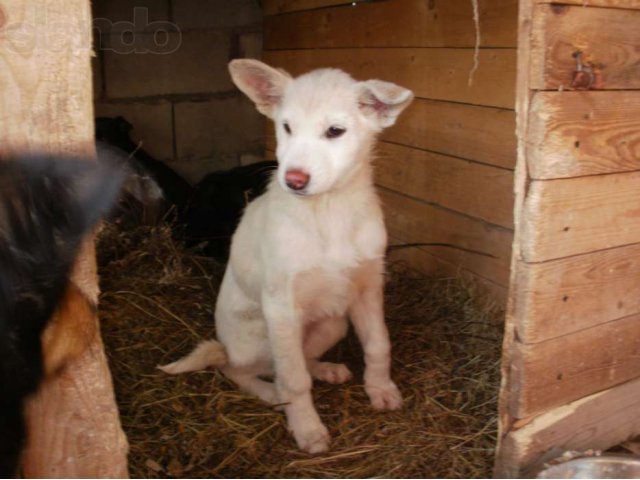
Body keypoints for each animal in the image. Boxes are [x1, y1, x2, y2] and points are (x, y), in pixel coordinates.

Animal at [160, 60, 416, 454]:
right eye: (287, 128)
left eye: (335, 131)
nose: (293, 180)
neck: (328, 211)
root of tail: (225, 346)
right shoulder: (281, 306)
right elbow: (294, 380)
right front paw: (307, 428)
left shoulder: (369, 287)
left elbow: (378, 344)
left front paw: (381, 389)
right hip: (259, 336)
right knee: (241, 370)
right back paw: (271, 393)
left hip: (332, 323)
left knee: (302, 358)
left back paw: (325, 369)